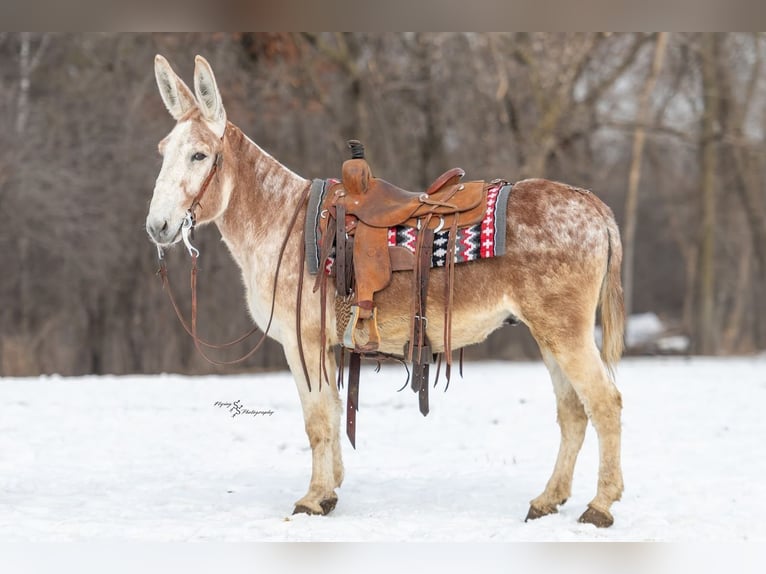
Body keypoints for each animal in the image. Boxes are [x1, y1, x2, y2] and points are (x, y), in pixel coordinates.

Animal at [145, 55, 626, 528]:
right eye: (163, 152)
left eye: (199, 155)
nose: (157, 227)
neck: (282, 222)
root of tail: (591, 203)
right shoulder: (325, 346)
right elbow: (333, 411)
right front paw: (331, 490)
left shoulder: (303, 343)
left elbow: (317, 420)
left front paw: (313, 498)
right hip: (548, 334)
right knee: (573, 411)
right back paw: (548, 500)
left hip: (565, 332)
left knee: (604, 403)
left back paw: (600, 505)